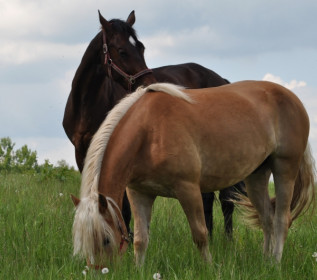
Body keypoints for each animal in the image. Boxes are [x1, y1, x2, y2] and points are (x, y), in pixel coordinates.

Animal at [63, 11, 243, 238]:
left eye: (141, 47)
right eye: (122, 51)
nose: (150, 84)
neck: (87, 104)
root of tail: (221, 79)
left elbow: (123, 205)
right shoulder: (81, 153)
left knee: (226, 200)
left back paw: (226, 241)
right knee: (208, 198)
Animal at [71, 81, 314, 266]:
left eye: (105, 240)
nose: (100, 271)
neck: (149, 132)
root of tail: (293, 98)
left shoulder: (188, 189)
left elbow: (200, 234)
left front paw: (209, 268)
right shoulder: (140, 193)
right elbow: (140, 239)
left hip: (285, 169)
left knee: (281, 219)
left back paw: (275, 264)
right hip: (256, 176)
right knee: (267, 219)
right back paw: (265, 262)